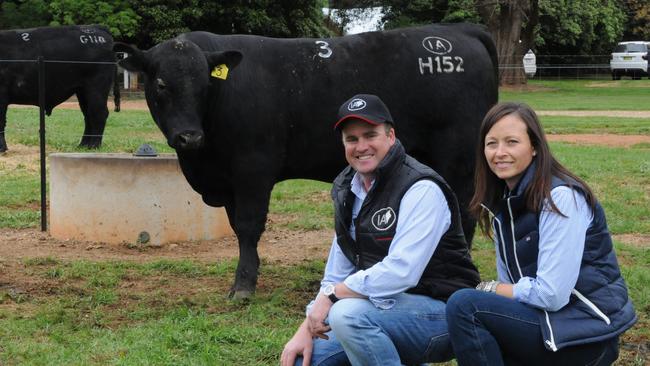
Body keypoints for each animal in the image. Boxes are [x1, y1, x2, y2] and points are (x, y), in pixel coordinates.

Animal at [0, 24, 119, 153]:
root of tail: (96, 28)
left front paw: (2, 148)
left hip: (96, 87)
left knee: (98, 113)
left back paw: (94, 146)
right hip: (82, 91)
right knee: (88, 115)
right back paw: (83, 145)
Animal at [116, 22, 496, 298]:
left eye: (203, 85)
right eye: (160, 84)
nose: (189, 137)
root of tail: (458, 31)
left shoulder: (253, 169)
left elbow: (249, 226)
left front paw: (244, 286)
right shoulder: (228, 181)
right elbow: (238, 228)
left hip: (459, 158)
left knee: (463, 212)